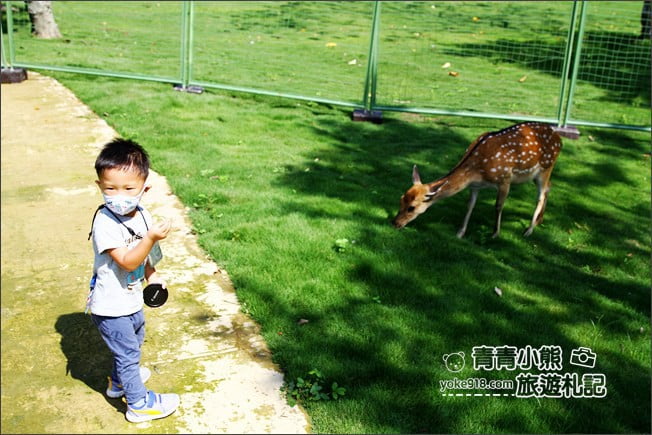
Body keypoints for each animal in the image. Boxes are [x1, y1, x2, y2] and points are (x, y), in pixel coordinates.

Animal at [392, 122, 567, 238]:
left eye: (412, 208)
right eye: (400, 199)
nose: (395, 223)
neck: (477, 170)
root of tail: (559, 139)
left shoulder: (505, 179)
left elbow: (498, 206)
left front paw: (495, 233)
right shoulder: (475, 186)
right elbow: (470, 205)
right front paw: (460, 233)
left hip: (546, 167)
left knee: (541, 195)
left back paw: (529, 230)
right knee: (549, 187)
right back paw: (539, 220)